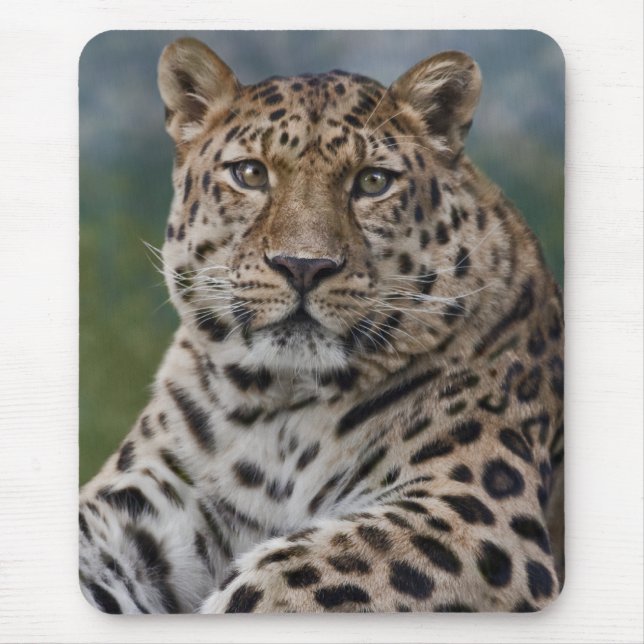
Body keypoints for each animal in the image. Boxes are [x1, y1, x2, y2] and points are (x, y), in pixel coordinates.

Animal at [79, 37, 564, 614]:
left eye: (373, 182)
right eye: (250, 174)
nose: (303, 266)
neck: (279, 412)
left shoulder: (471, 515)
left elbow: (280, 579)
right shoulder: (142, 507)